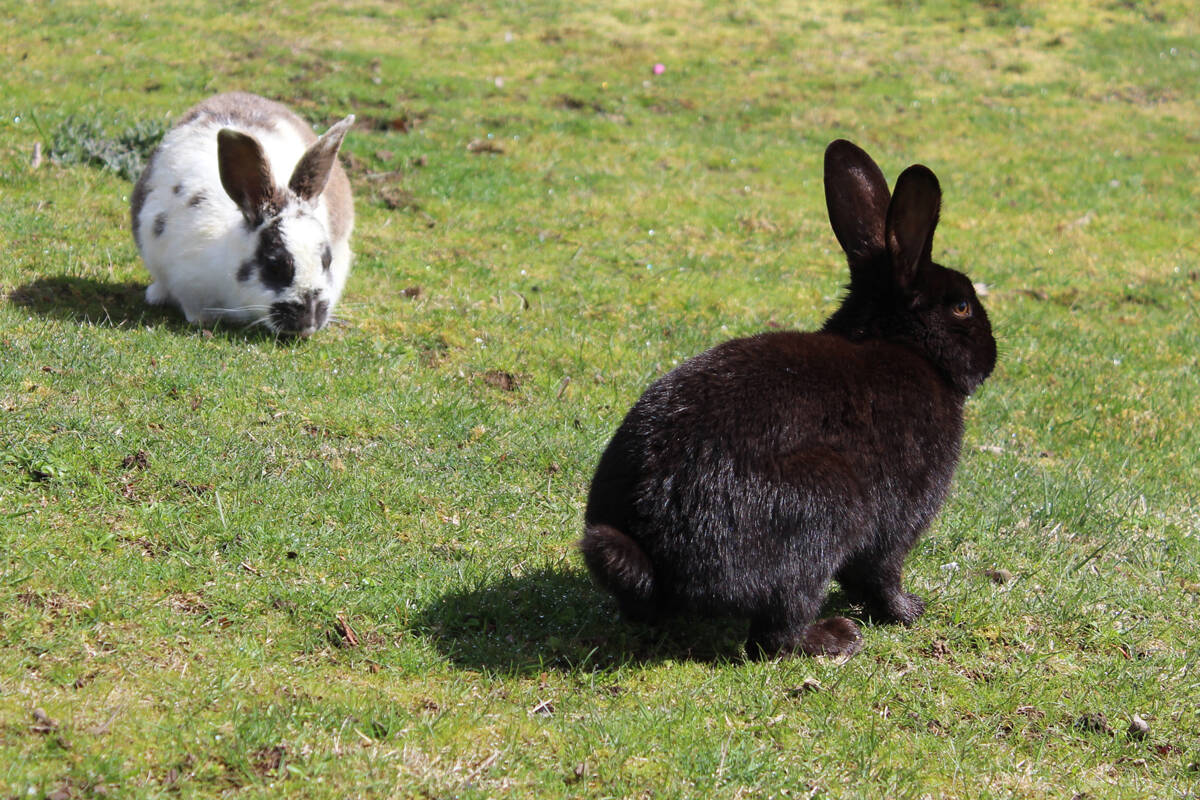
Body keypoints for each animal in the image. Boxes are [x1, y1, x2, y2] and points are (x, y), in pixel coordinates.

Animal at [581, 139, 997, 659]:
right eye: (961, 306)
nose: (992, 355)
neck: (905, 345)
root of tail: (657, 558)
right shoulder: (898, 518)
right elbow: (880, 574)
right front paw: (909, 611)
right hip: (826, 507)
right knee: (777, 632)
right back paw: (836, 636)